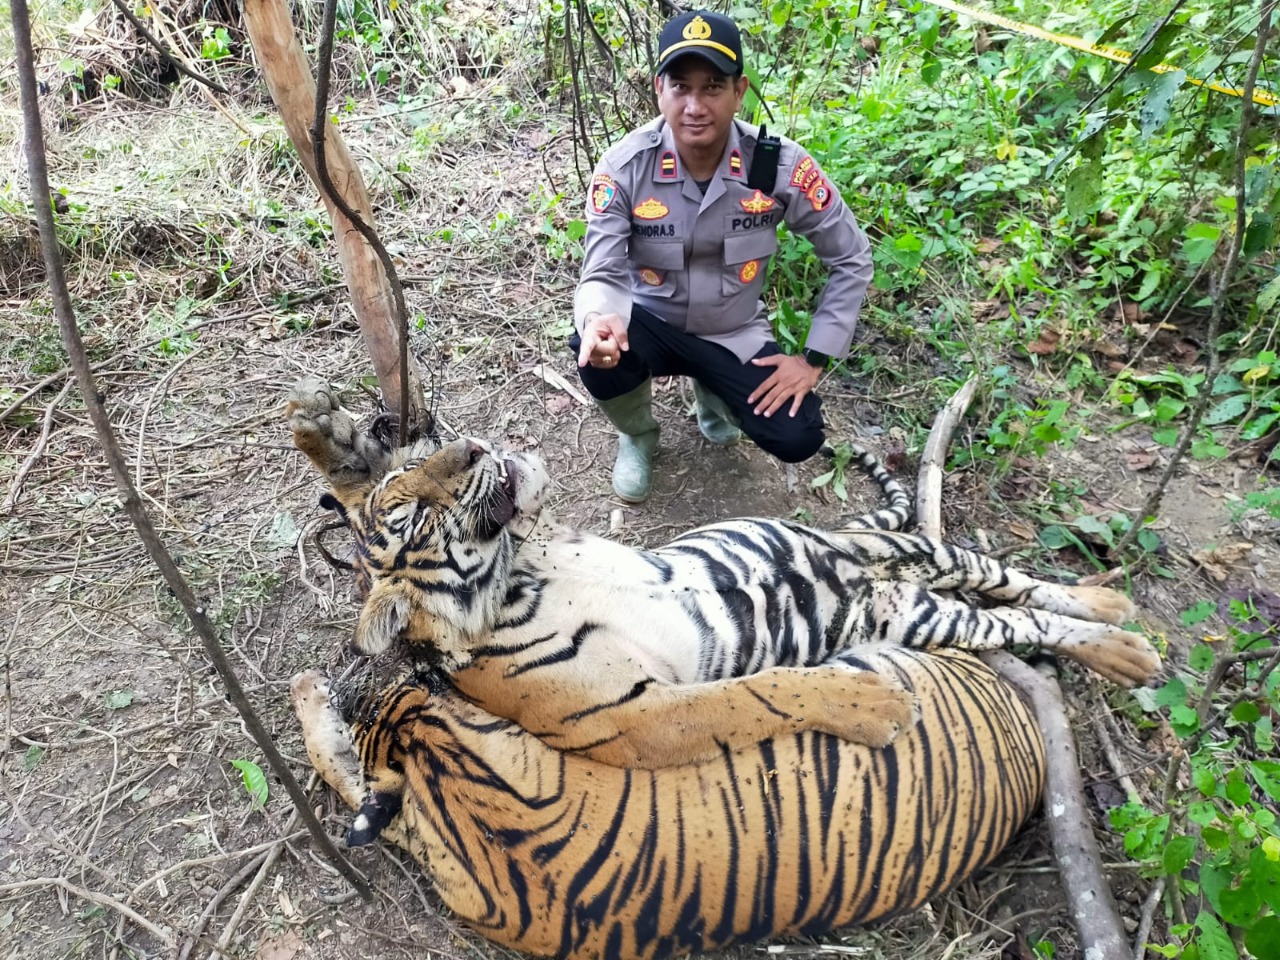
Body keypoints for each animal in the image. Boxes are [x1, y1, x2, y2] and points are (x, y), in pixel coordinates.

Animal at [288, 378, 1162, 773]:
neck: (516, 577)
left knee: (1019, 587)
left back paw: (1113, 611)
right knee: (1012, 617)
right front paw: (878, 706)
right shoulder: (637, 716)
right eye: (412, 504)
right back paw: (1129, 647)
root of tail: (854, 559)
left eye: (432, 458)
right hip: (910, 605)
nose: (473, 448)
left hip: (917, 561)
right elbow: (760, 693)